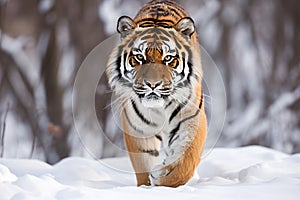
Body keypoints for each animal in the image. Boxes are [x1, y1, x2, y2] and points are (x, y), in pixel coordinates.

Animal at [105, 0, 206, 188]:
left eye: (168, 59)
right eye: (139, 57)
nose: (152, 84)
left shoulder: (191, 118)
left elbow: (187, 159)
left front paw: (163, 175)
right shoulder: (138, 128)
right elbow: (143, 164)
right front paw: (146, 186)